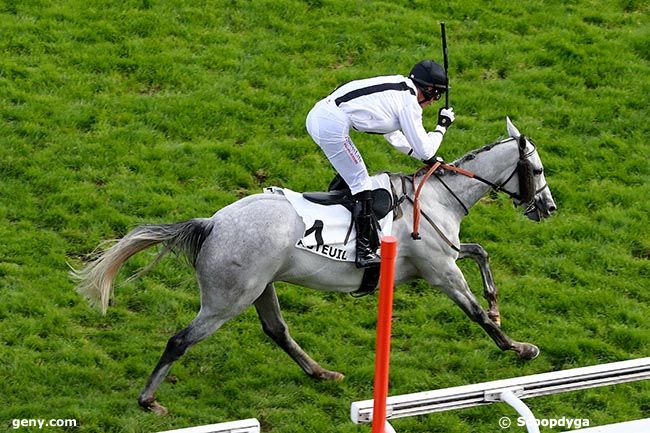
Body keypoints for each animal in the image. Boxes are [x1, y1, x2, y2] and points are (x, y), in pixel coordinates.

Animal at [72, 117, 556, 412]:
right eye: (536, 168)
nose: (548, 207)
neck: (436, 198)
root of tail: (211, 224)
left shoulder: (443, 258)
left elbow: (481, 255)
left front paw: (496, 304)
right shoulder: (441, 271)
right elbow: (474, 312)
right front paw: (518, 347)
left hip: (259, 288)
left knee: (277, 331)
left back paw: (320, 372)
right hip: (226, 301)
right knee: (179, 340)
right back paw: (148, 399)